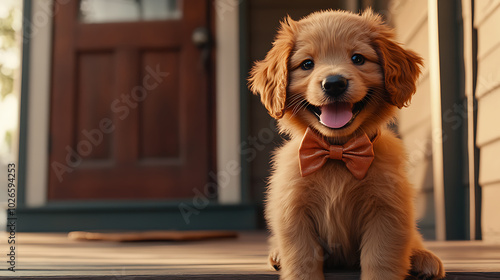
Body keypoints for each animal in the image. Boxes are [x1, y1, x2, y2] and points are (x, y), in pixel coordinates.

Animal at [249, 8, 446, 280]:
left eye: (358, 58)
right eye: (307, 64)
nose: (334, 83)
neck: (337, 152)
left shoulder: (387, 212)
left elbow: (381, 260)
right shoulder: (293, 212)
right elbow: (302, 260)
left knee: (414, 240)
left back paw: (423, 258)